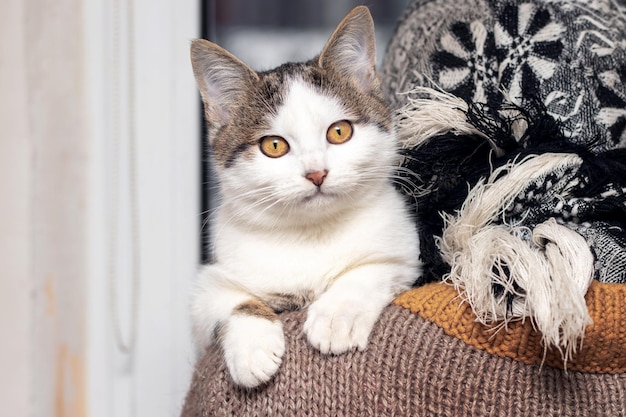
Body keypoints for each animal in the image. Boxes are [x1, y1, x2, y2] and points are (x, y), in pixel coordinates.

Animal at [188, 6, 416, 388]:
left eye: (339, 131)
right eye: (274, 146)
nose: (316, 173)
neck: (311, 233)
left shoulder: (404, 257)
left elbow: (372, 268)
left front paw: (338, 315)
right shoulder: (208, 287)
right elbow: (229, 299)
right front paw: (252, 348)